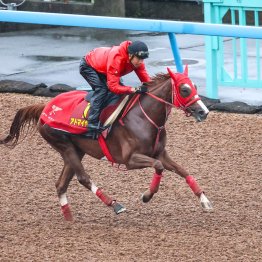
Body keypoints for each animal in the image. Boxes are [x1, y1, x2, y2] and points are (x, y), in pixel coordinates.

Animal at [0, 66, 213, 221]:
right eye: (184, 89)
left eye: (195, 86)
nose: (204, 112)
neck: (144, 118)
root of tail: (45, 107)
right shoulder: (130, 159)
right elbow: (159, 167)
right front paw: (146, 196)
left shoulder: (160, 152)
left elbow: (183, 170)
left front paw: (205, 200)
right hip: (63, 145)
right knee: (83, 178)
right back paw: (115, 205)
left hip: (75, 150)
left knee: (61, 184)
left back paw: (68, 218)